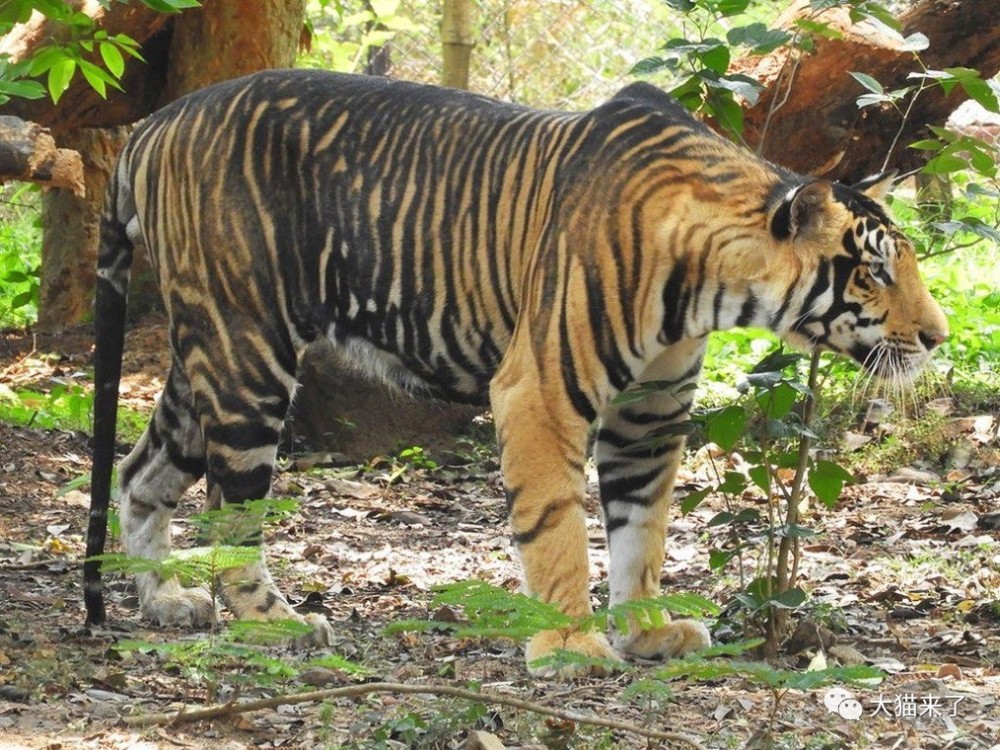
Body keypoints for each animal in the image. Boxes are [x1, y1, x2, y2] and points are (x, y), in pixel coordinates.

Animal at [84, 70, 944, 680]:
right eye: (875, 272)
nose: (936, 337)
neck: (712, 285)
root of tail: (154, 123)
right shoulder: (542, 392)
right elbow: (558, 527)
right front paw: (569, 647)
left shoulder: (651, 413)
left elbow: (642, 531)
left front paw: (647, 632)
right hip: (247, 355)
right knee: (231, 504)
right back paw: (274, 620)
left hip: (206, 361)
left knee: (140, 471)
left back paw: (165, 601)